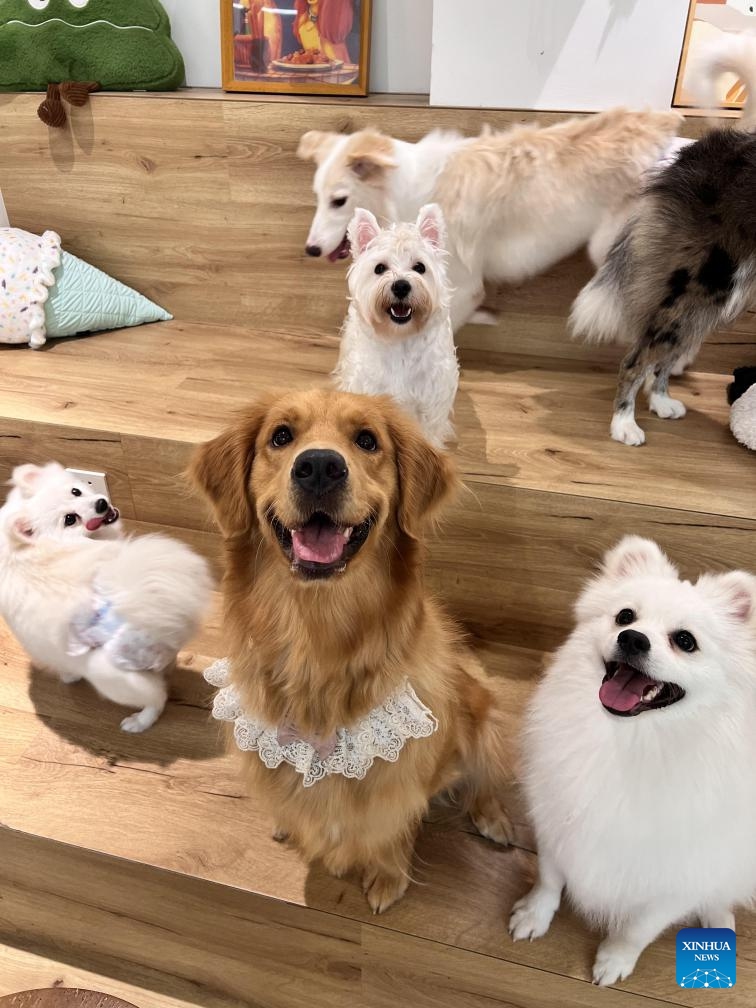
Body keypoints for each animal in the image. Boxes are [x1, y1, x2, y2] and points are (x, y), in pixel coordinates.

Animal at [192, 391, 520, 915]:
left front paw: (388, 877)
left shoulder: (401, 775)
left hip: (481, 715)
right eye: (280, 436)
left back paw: (493, 818)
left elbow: (391, 829)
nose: (320, 467)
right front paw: (291, 819)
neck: (317, 636)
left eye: (367, 440)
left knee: (484, 781)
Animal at [298, 109, 685, 330]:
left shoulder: (463, 284)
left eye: (339, 201)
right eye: (316, 196)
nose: (311, 250)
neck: (405, 189)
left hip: (610, 246)